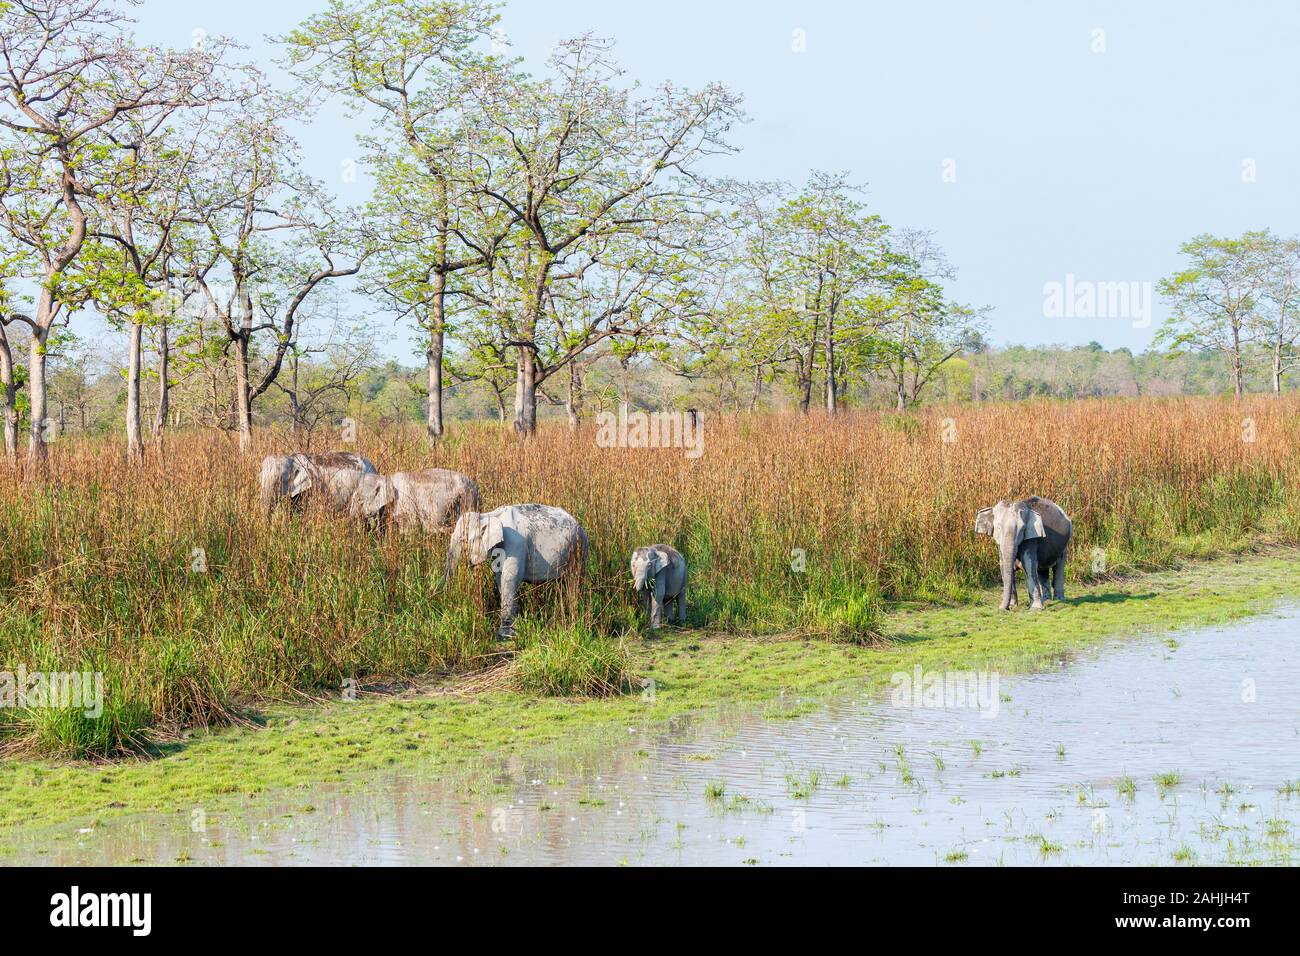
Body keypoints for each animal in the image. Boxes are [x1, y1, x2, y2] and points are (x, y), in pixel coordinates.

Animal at [348, 468, 480, 535]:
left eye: (359, 500)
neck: (386, 478)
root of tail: (475, 485)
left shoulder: (405, 502)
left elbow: (410, 528)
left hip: (466, 499)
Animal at [447, 502, 590, 642]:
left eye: (463, 540)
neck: (490, 515)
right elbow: (500, 579)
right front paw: (515, 626)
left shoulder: (515, 543)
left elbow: (510, 577)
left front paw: (504, 636)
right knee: (563, 584)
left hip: (578, 551)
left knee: (574, 582)